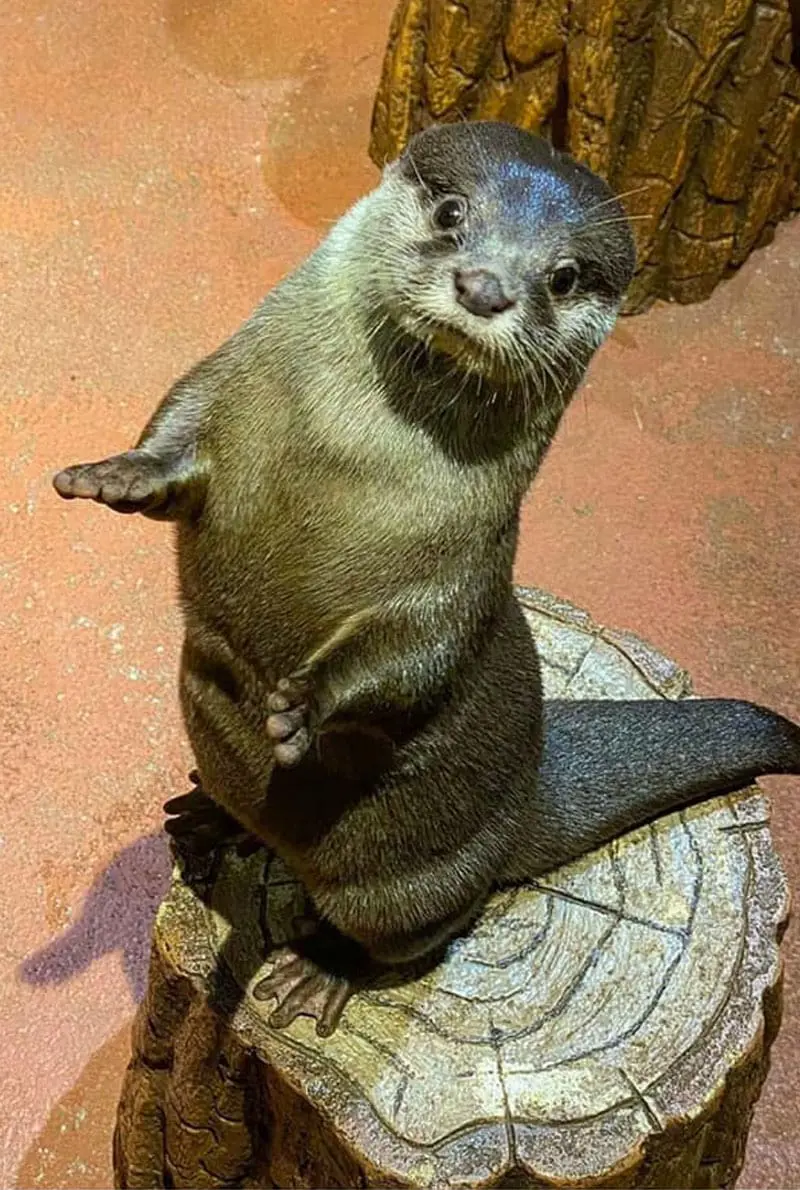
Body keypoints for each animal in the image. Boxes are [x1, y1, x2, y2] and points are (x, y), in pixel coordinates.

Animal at [54, 121, 800, 1037]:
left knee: (425, 932)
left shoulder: (458, 570)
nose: (485, 286)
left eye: (562, 275)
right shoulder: (219, 387)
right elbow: (174, 430)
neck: (341, 456)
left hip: (405, 883)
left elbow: (417, 653)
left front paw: (301, 707)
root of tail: (527, 792)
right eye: (451, 212)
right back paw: (209, 816)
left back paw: (318, 969)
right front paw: (116, 475)